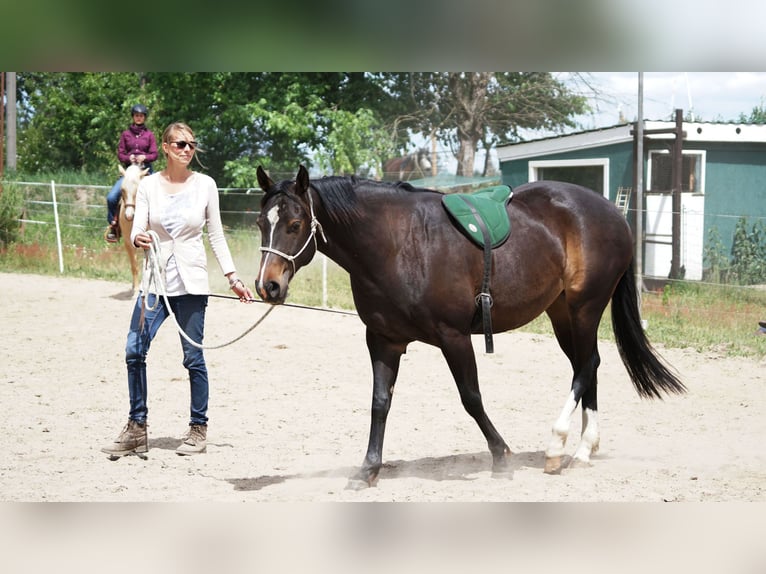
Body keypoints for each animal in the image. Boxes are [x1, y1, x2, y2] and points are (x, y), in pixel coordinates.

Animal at [255, 165, 688, 490]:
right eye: (262, 221)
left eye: (295, 223)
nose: (267, 285)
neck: (398, 244)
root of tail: (613, 213)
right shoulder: (383, 340)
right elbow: (380, 403)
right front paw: (368, 470)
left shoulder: (453, 337)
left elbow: (471, 398)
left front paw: (501, 457)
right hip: (562, 312)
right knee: (587, 366)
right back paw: (583, 449)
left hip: (585, 307)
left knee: (587, 366)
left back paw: (558, 447)